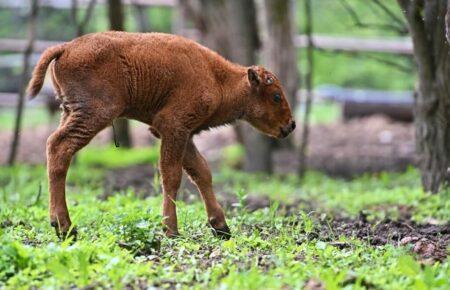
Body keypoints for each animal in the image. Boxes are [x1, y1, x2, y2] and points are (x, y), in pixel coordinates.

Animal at [28, 31, 296, 240]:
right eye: (276, 96)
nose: (291, 125)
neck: (217, 77)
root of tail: (65, 47)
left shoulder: (183, 134)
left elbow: (202, 173)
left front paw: (221, 227)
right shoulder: (172, 127)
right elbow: (172, 176)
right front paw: (171, 230)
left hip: (69, 111)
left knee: (53, 147)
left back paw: (59, 225)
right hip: (95, 114)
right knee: (59, 147)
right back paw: (66, 228)